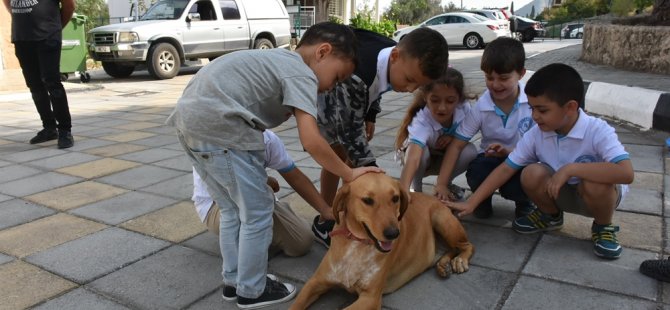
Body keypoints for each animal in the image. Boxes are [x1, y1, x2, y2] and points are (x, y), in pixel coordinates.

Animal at [292, 173, 476, 308]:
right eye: (367, 200)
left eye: (395, 198)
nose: (393, 233)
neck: (357, 244)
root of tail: (436, 199)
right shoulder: (315, 282)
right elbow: (295, 305)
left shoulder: (370, 298)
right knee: (452, 249)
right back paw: (443, 265)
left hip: (442, 220)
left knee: (467, 246)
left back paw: (459, 261)